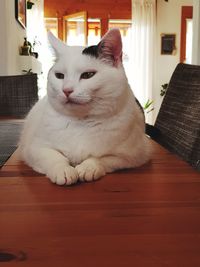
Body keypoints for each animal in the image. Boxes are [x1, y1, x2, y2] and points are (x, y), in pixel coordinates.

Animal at [18, 28, 152, 185]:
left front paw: (88, 168)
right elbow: (54, 157)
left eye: (88, 75)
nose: (66, 90)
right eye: (59, 76)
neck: (80, 123)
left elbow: (100, 159)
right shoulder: (34, 148)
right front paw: (63, 170)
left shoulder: (133, 155)